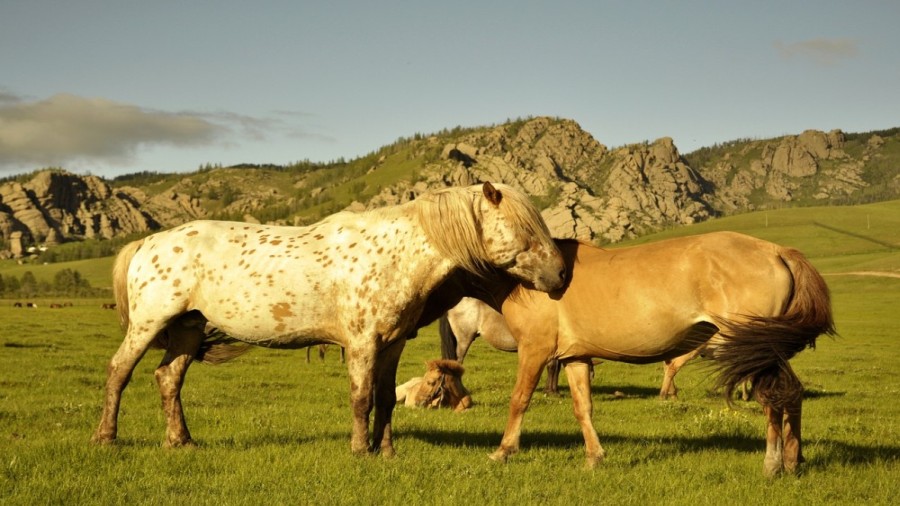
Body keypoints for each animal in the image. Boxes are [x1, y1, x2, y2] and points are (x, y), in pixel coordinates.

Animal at [91, 182, 566, 457]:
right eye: (526, 228)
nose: (562, 274)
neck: (393, 254)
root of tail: (148, 242)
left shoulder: (392, 344)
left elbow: (386, 398)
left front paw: (386, 451)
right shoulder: (360, 343)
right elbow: (361, 398)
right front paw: (359, 450)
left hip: (188, 330)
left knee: (168, 379)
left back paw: (181, 441)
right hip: (148, 324)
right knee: (118, 372)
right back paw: (106, 437)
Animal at [477, 233, 834, 477]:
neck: (529, 277)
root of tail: (776, 251)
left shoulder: (534, 350)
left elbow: (519, 399)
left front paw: (503, 451)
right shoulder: (574, 358)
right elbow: (583, 408)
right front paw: (594, 458)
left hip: (754, 349)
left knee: (773, 398)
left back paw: (773, 464)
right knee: (792, 392)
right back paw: (794, 459)